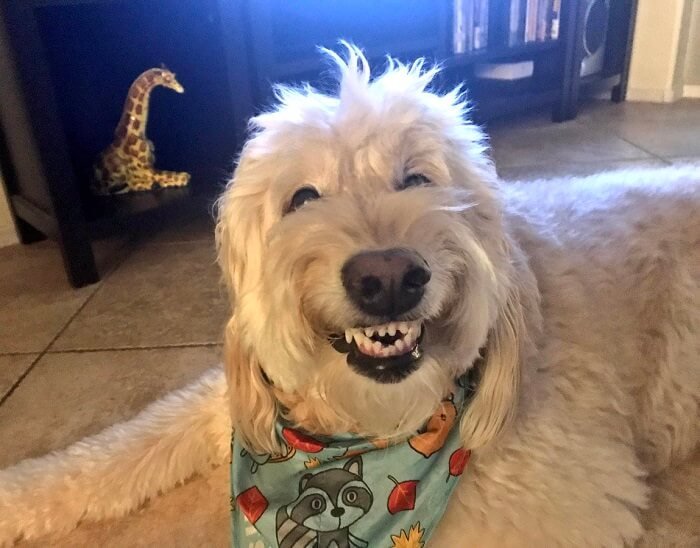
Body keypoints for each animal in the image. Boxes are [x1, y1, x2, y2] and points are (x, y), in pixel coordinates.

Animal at [1, 48, 700, 548]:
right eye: (302, 198)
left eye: (417, 181)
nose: (387, 278)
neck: (364, 427)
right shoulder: (236, 399)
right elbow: (116, 449)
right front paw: (16, 498)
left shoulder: (559, 499)